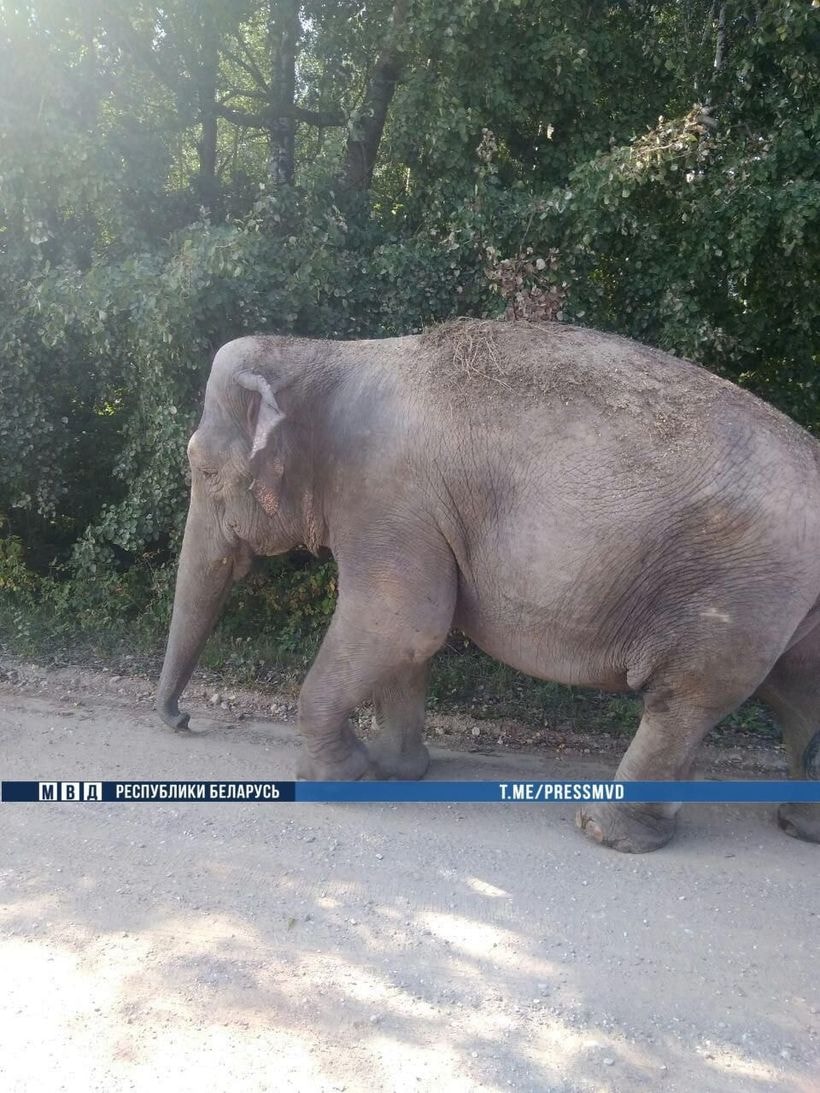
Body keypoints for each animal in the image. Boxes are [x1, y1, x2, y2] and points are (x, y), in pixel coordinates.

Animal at [155, 319, 820, 852]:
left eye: (205, 472)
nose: (182, 721)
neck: (325, 353)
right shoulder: (411, 512)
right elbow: (410, 639)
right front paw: (397, 773)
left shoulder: (387, 495)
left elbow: (403, 621)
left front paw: (341, 780)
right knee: (798, 695)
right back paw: (796, 825)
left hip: (737, 590)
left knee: (686, 698)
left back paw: (608, 832)